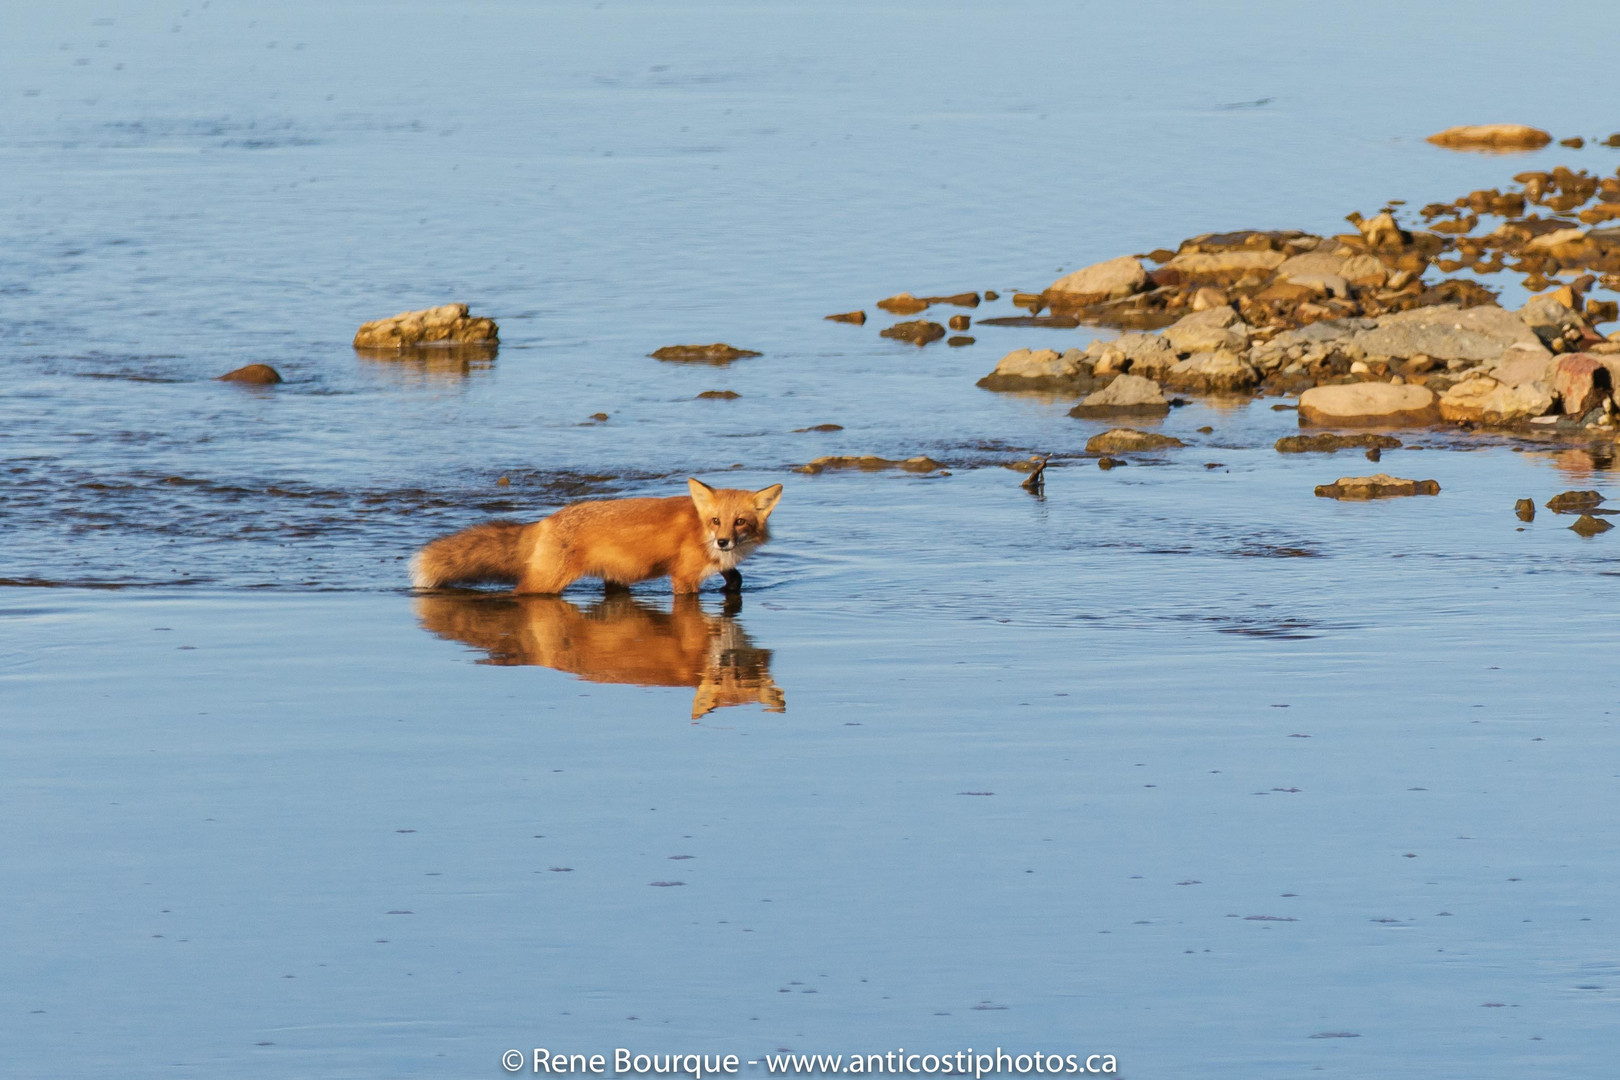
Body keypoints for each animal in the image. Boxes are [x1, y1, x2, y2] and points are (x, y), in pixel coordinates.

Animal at [408, 479, 780, 595]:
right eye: (716, 521)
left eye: (740, 522)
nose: (723, 542)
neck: (700, 531)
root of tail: (546, 520)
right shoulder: (684, 578)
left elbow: (736, 578)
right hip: (545, 584)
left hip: (613, 580)